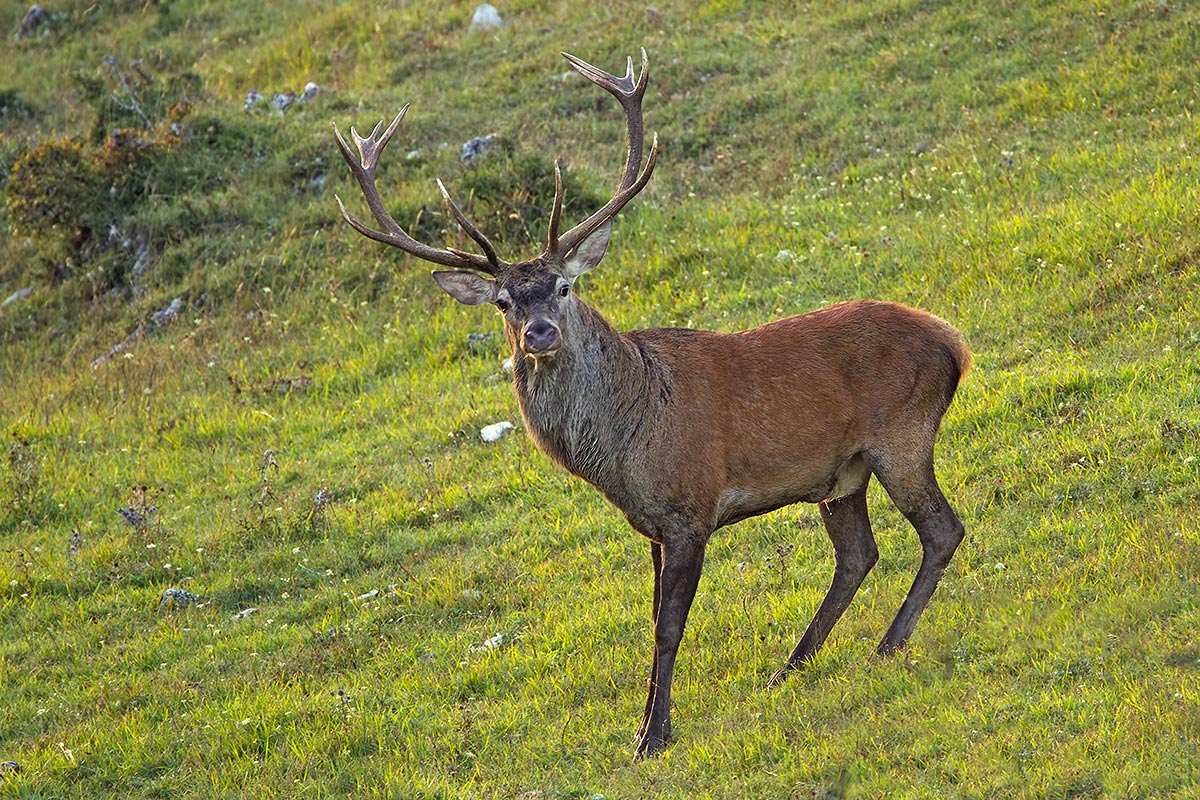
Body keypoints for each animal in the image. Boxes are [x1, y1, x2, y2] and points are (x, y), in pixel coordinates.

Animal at [333, 49, 971, 759]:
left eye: (563, 286)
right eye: (503, 302)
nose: (539, 333)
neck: (624, 446)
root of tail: (954, 344)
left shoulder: (691, 508)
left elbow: (668, 628)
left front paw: (654, 735)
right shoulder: (653, 527)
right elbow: (652, 622)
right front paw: (646, 725)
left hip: (902, 434)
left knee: (942, 530)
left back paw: (888, 644)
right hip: (840, 475)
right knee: (858, 555)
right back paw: (789, 668)